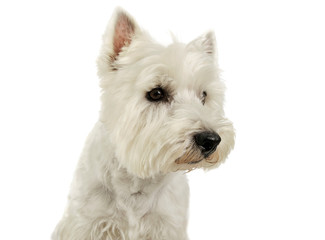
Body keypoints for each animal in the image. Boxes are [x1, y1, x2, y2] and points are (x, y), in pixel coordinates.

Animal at [52, 7, 235, 240]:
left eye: (204, 96)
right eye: (156, 93)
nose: (211, 140)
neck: (138, 179)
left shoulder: (168, 225)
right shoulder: (87, 224)